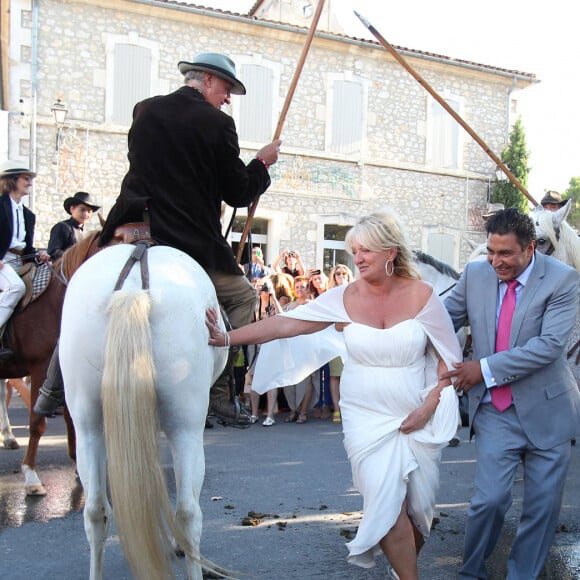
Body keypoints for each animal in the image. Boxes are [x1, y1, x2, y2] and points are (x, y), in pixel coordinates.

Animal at [0, 231, 101, 494]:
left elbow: (71, 417)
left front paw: (79, 468)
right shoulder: (41, 367)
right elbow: (37, 422)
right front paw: (31, 477)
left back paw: (8, 436)